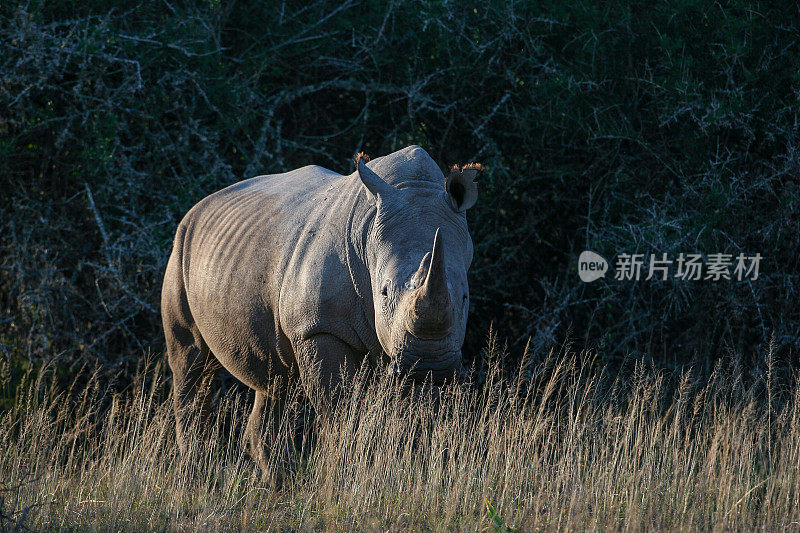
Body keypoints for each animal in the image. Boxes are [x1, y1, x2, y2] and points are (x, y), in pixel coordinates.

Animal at [159, 144, 478, 462]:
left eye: (464, 297)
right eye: (385, 292)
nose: (430, 367)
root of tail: (200, 206)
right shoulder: (317, 328)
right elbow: (342, 413)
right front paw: (343, 464)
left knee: (274, 381)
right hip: (180, 248)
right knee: (192, 363)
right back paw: (195, 463)